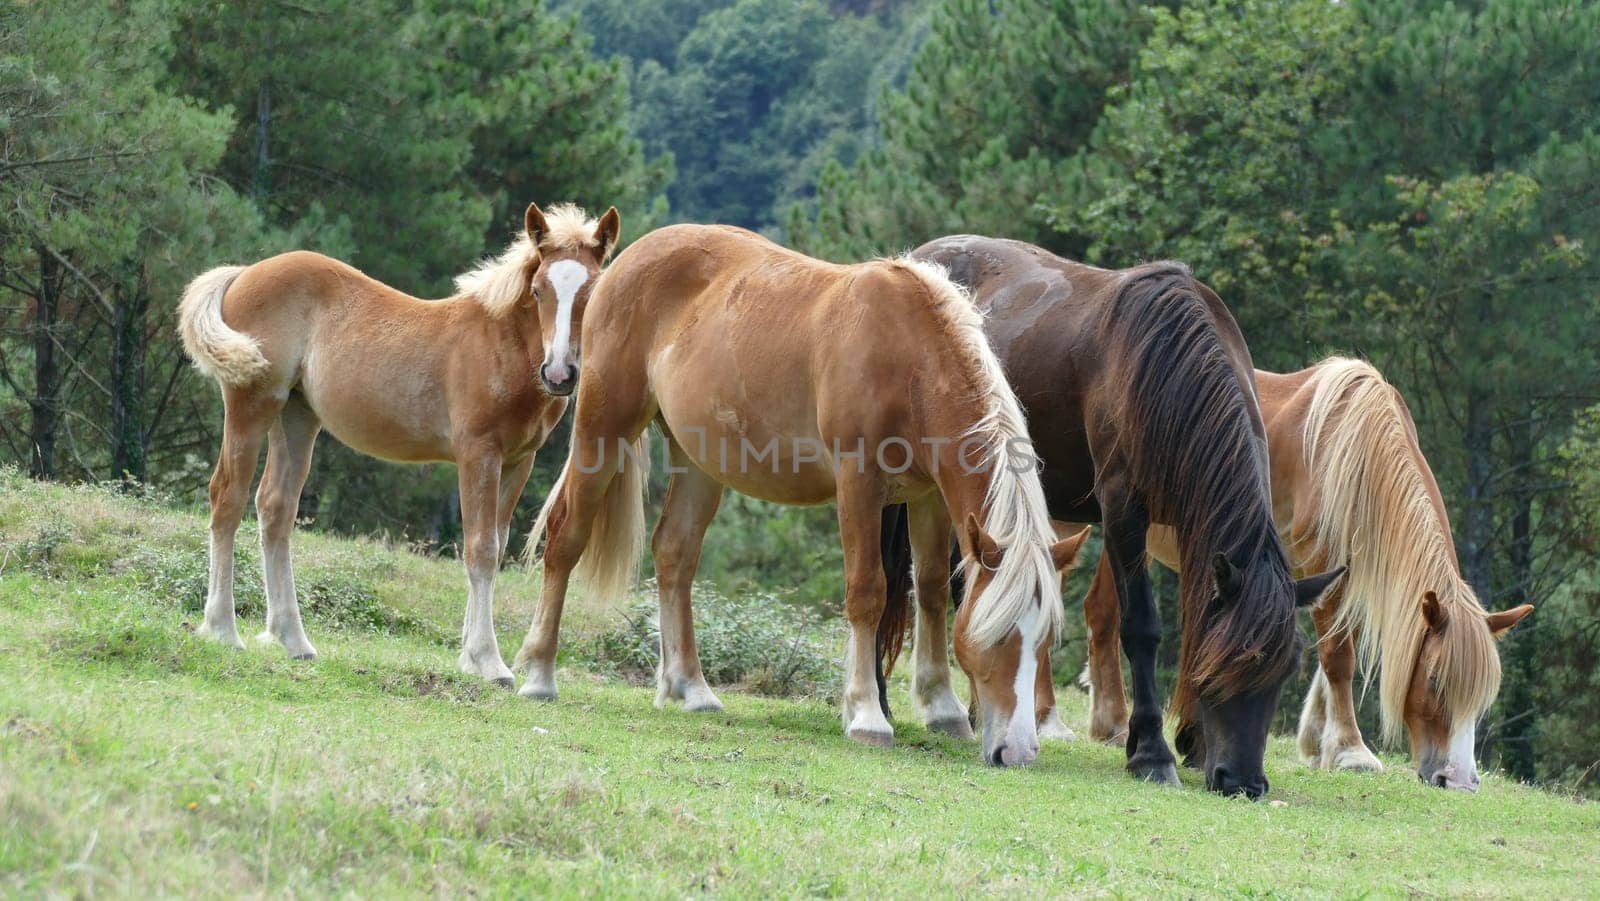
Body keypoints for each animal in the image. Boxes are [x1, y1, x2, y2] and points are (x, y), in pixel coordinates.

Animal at [178, 202, 617, 684]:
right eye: (539, 291)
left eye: (592, 291)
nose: (558, 374)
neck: (501, 346)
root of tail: (244, 272)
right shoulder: (478, 454)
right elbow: (480, 549)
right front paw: (489, 661)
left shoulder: (519, 461)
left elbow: (496, 546)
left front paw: (469, 657)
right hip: (252, 402)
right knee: (227, 496)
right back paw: (222, 628)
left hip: (296, 415)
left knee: (275, 508)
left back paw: (292, 639)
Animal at [518, 225, 1081, 768]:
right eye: (997, 634)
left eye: (1044, 638)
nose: (1018, 752)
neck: (910, 359)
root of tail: (623, 264)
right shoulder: (859, 485)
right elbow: (867, 592)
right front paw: (866, 716)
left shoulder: (930, 499)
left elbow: (933, 591)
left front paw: (942, 708)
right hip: (603, 430)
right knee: (566, 536)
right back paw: (539, 674)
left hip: (699, 462)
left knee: (675, 553)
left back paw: (690, 688)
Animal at [876, 235, 1337, 796]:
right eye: (1232, 662)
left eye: (1286, 670)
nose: (1244, 782)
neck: (1165, 371)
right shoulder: (1123, 514)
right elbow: (1141, 627)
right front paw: (1151, 752)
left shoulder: (1181, 526)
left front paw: (1191, 743)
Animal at [1081, 356, 1529, 793]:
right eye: (1435, 680)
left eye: (1484, 697)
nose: (1459, 780)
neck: (1350, 452)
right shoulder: (1320, 568)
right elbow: (1338, 658)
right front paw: (1350, 750)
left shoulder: (1340, 581)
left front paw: (1317, 742)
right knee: (1102, 612)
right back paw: (1113, 724)